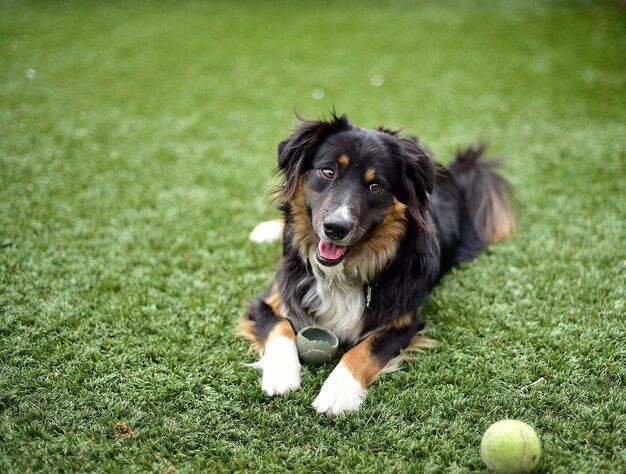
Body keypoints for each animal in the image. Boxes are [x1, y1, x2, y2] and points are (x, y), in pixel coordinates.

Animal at [236, 112, 516, 414]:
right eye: (328, 172)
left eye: (375, 186)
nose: (335, 228)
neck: (344, 271)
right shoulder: (270, 297)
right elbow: (279, 325)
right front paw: (281, 374)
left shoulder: (403, 321)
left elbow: (364, 349)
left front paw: (338, 392)